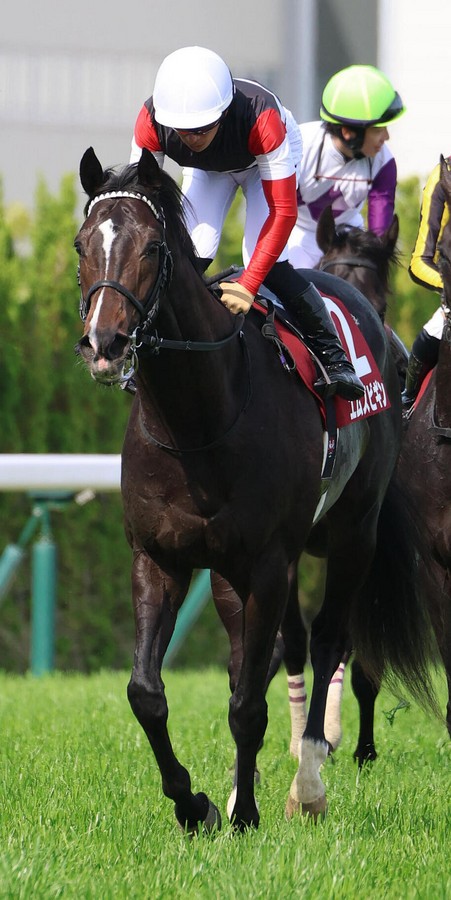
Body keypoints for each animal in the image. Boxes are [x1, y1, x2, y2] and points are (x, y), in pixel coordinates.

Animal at [75, 146, 438, 832]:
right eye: (84, 244)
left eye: (153, 246)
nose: (104, 343)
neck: (199, 420)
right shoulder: (159, 558)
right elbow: (147, 692)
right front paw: (196, 805)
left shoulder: (269, 561)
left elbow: (249, 701)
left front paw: (245, 811)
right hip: (232, 573)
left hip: (354, 532)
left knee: (328, 640)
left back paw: (309, 782)